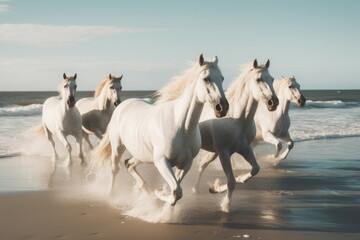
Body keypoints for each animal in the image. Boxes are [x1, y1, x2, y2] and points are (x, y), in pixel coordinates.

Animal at [92, 55, 228, 205]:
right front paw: (159, 194)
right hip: (118, 147)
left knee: (129, 164)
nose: (222, 107)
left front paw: (160, 197)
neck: (181, 126)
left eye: (222, 78)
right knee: (115, 168)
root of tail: (121, 105)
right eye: (206, 78)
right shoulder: (162, 162)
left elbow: (176, 191)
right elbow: (176, 191)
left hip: (142, 154)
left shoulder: (186, 163)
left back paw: (146, 190)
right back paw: (112, 194)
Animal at [191, 59, 278, 212]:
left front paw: (217, 188)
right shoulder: (224, 153)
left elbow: (255, 169)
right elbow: (231, 181)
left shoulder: (244, 149)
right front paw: (225, 205)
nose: (273, 103)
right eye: (259, 79)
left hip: (213, 152)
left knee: (202, 165)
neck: (238, 119)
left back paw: (196, 189)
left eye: (272, 79)